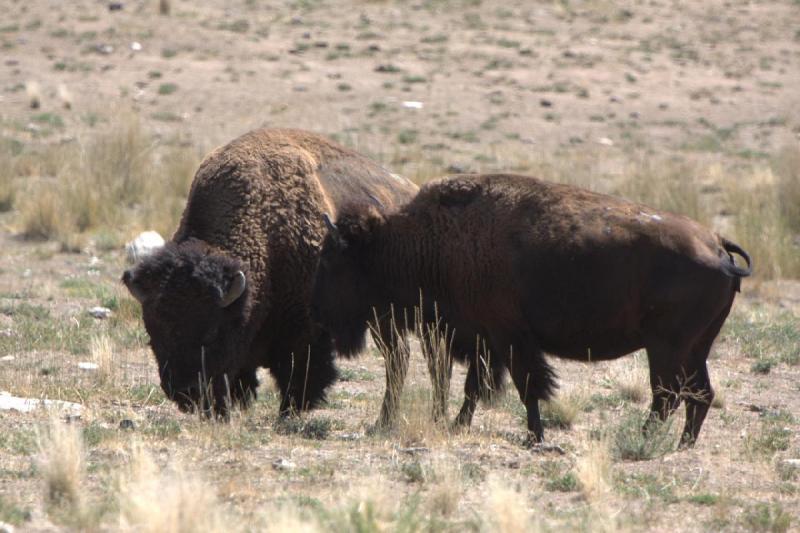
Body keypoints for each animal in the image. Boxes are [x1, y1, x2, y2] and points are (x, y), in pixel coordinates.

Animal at [123, 128, 418, 416]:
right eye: (153, 331)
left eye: (212, 333)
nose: (185, 392)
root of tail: (408, 190)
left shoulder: (303, 332)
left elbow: (300, 374)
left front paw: (289, 413)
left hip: (385, 316)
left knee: (396, 357)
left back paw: (384, 419)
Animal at [310, 171, 752, 444]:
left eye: (332, 261)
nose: (319, 314)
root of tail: (717, 244)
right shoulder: (484, 339)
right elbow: (476, 387)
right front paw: (458, 424)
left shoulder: (507, 337)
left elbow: (527, 386)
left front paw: (534, 435)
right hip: (695, 347)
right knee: (698, 394)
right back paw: (681, 445)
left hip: (666, 347)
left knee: (668, 395)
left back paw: (642, 439)